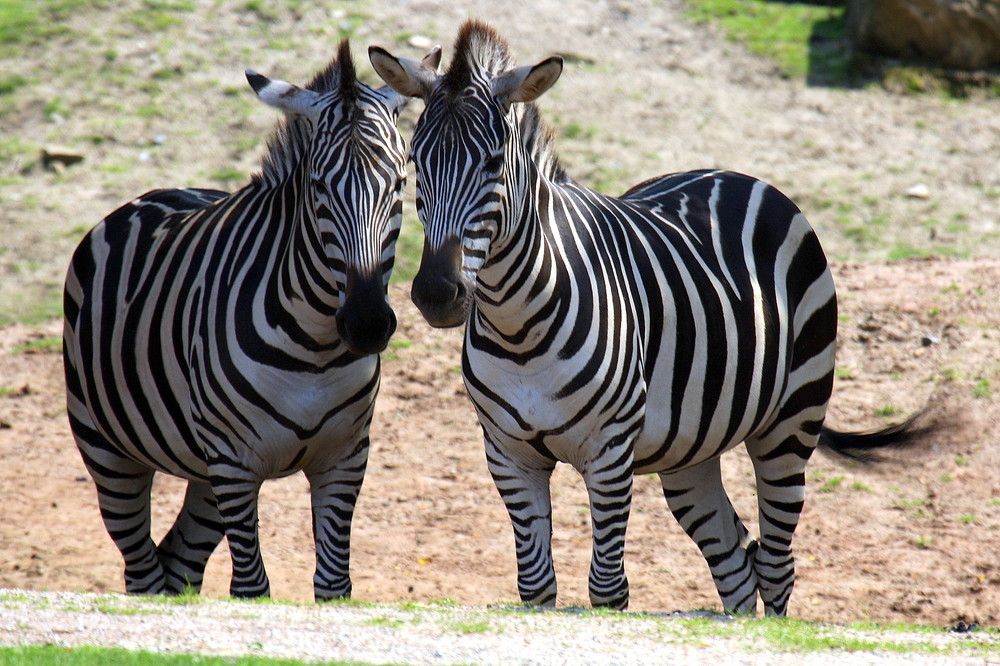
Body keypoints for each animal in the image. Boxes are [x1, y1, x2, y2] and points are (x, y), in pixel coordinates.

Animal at [58, 42, 426, 600]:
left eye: (401, 183)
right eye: (317, 187)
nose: (366, 325)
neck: (315, 348)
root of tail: (155, 193)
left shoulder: (344, 459)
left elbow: (334, 584)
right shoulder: (234, 465)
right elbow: (251, 588)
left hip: (202, 471)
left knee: (178, 564)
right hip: (107, 449)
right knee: (143, 569)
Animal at [372, 19, 932, 612]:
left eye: (494, 163)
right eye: (414, 163)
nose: (436, 293)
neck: (517, 326)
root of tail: (732, 174)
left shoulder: (611, 451)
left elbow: (607, 588)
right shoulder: (508, 454)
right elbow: (535, 586)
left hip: (791, 421)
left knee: (778, 564)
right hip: (690, 451)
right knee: (736, 559)